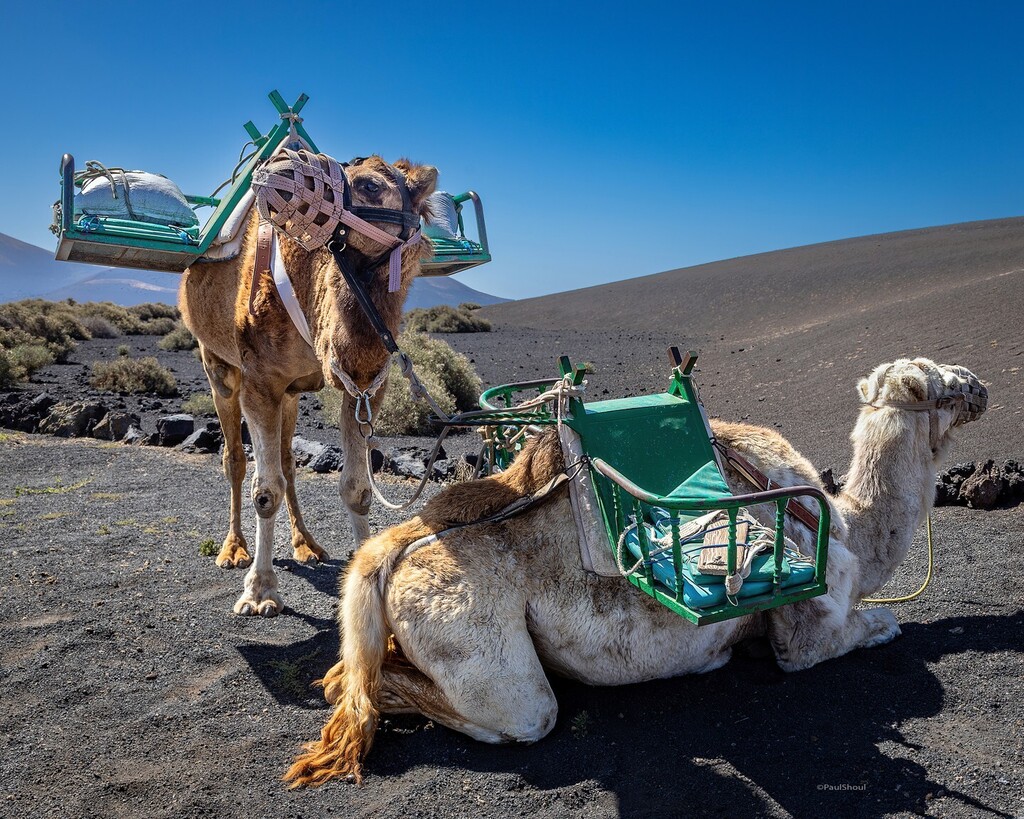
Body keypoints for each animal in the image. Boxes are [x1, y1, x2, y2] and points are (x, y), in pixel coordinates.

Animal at [180, 151, 436, 614]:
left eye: (370, 185)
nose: (280, 166)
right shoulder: (260, 382)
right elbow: (265, 492)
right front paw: (259, 591)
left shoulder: (364, 386)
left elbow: (356, 489)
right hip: (218, 368)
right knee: (234, 460)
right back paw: (233, 549)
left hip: (292, 396)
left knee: (287, 462)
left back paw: (307, 545)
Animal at [284, 358, 987, 786]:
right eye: (938, 384)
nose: (979, 386)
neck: (840, 525)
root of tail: (392, 550)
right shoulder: (805, 629)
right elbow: (871, 628)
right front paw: (886, 626)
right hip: (476, 641)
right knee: (520, 712)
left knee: (365, 668)